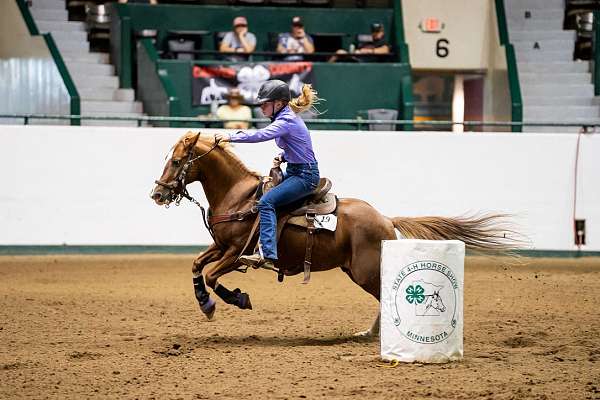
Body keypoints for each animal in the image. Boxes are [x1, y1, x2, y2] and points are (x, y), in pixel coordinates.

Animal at [151, 133, 516, 336]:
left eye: (178, 160)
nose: (157, 193)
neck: (239, 196)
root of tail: (385, 218)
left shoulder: (236, 251)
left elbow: (213, 276)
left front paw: (234, 300)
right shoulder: (220, 246)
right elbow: (197, 266)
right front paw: (205, 303)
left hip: (366, 271)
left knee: (389, 294)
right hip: (356, 270)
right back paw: (370, 333)